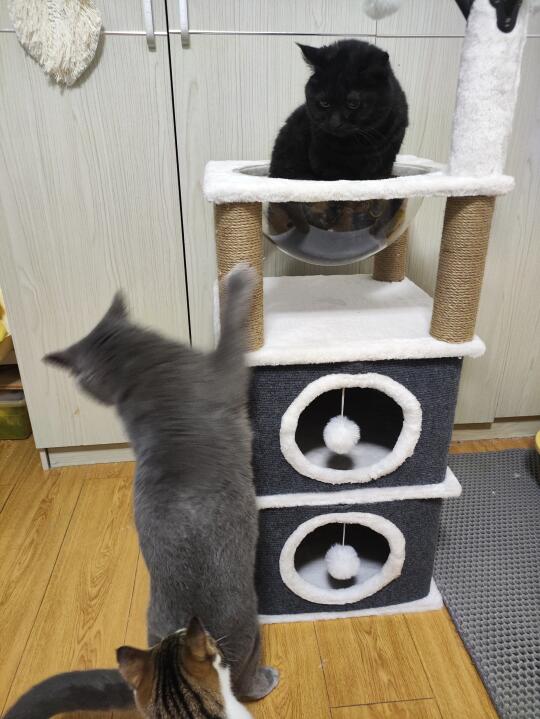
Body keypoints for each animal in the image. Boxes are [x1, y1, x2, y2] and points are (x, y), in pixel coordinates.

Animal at [3, 264, 277, 719]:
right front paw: (239, 278)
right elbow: (233, 333)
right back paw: (267, 679)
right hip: (248, 629)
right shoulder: (223, 372)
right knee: (244, 683)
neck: (141, 373)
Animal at [269, 39, 408, 181]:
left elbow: (378, 174)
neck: (360, 145)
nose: (334, 123)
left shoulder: (387, 159)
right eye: (324, 103)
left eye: (353, 103)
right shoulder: (323, 162)